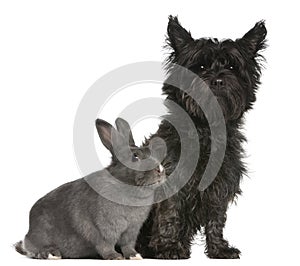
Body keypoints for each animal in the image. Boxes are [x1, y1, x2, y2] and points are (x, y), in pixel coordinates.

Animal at [14, 118, 164, 260]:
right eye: (135, 156)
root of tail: (28, 234)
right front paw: (115, 257)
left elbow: (128, 246)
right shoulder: (103, 229)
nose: (160, 170)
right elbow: (105, 245)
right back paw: (52, 254)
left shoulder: (131, 231)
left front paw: (135, 256)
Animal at [136, 15, 268, 258]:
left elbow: (217, 218)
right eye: (201, 66)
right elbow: (170, 213)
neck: (205, 130)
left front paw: (219, 248)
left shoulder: (220, 183)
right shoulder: (171, 178)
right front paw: (169, 248)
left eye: (232, 66)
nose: (217, 81)